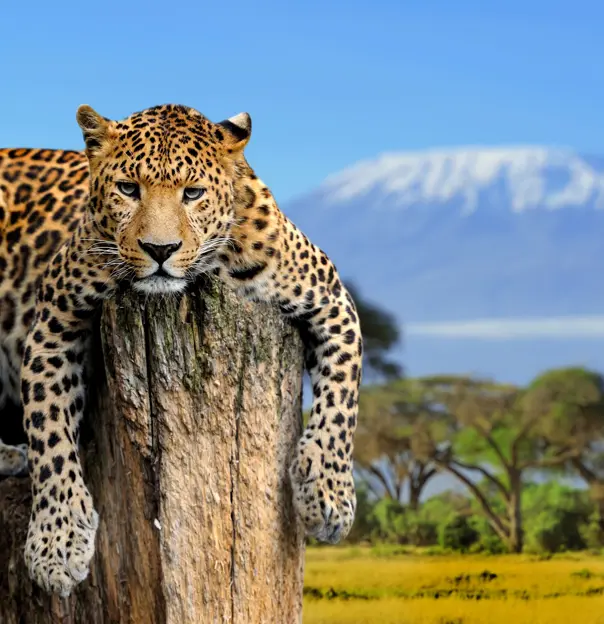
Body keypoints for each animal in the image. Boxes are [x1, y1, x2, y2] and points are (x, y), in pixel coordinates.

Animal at [0, 105, 360, 596]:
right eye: (128, 188)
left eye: (193, 193)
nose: (160, 249)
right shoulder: (54, 319)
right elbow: (49, 430)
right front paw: (57, 543)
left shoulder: (331, 298)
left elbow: (343, 398)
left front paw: (327, 493)